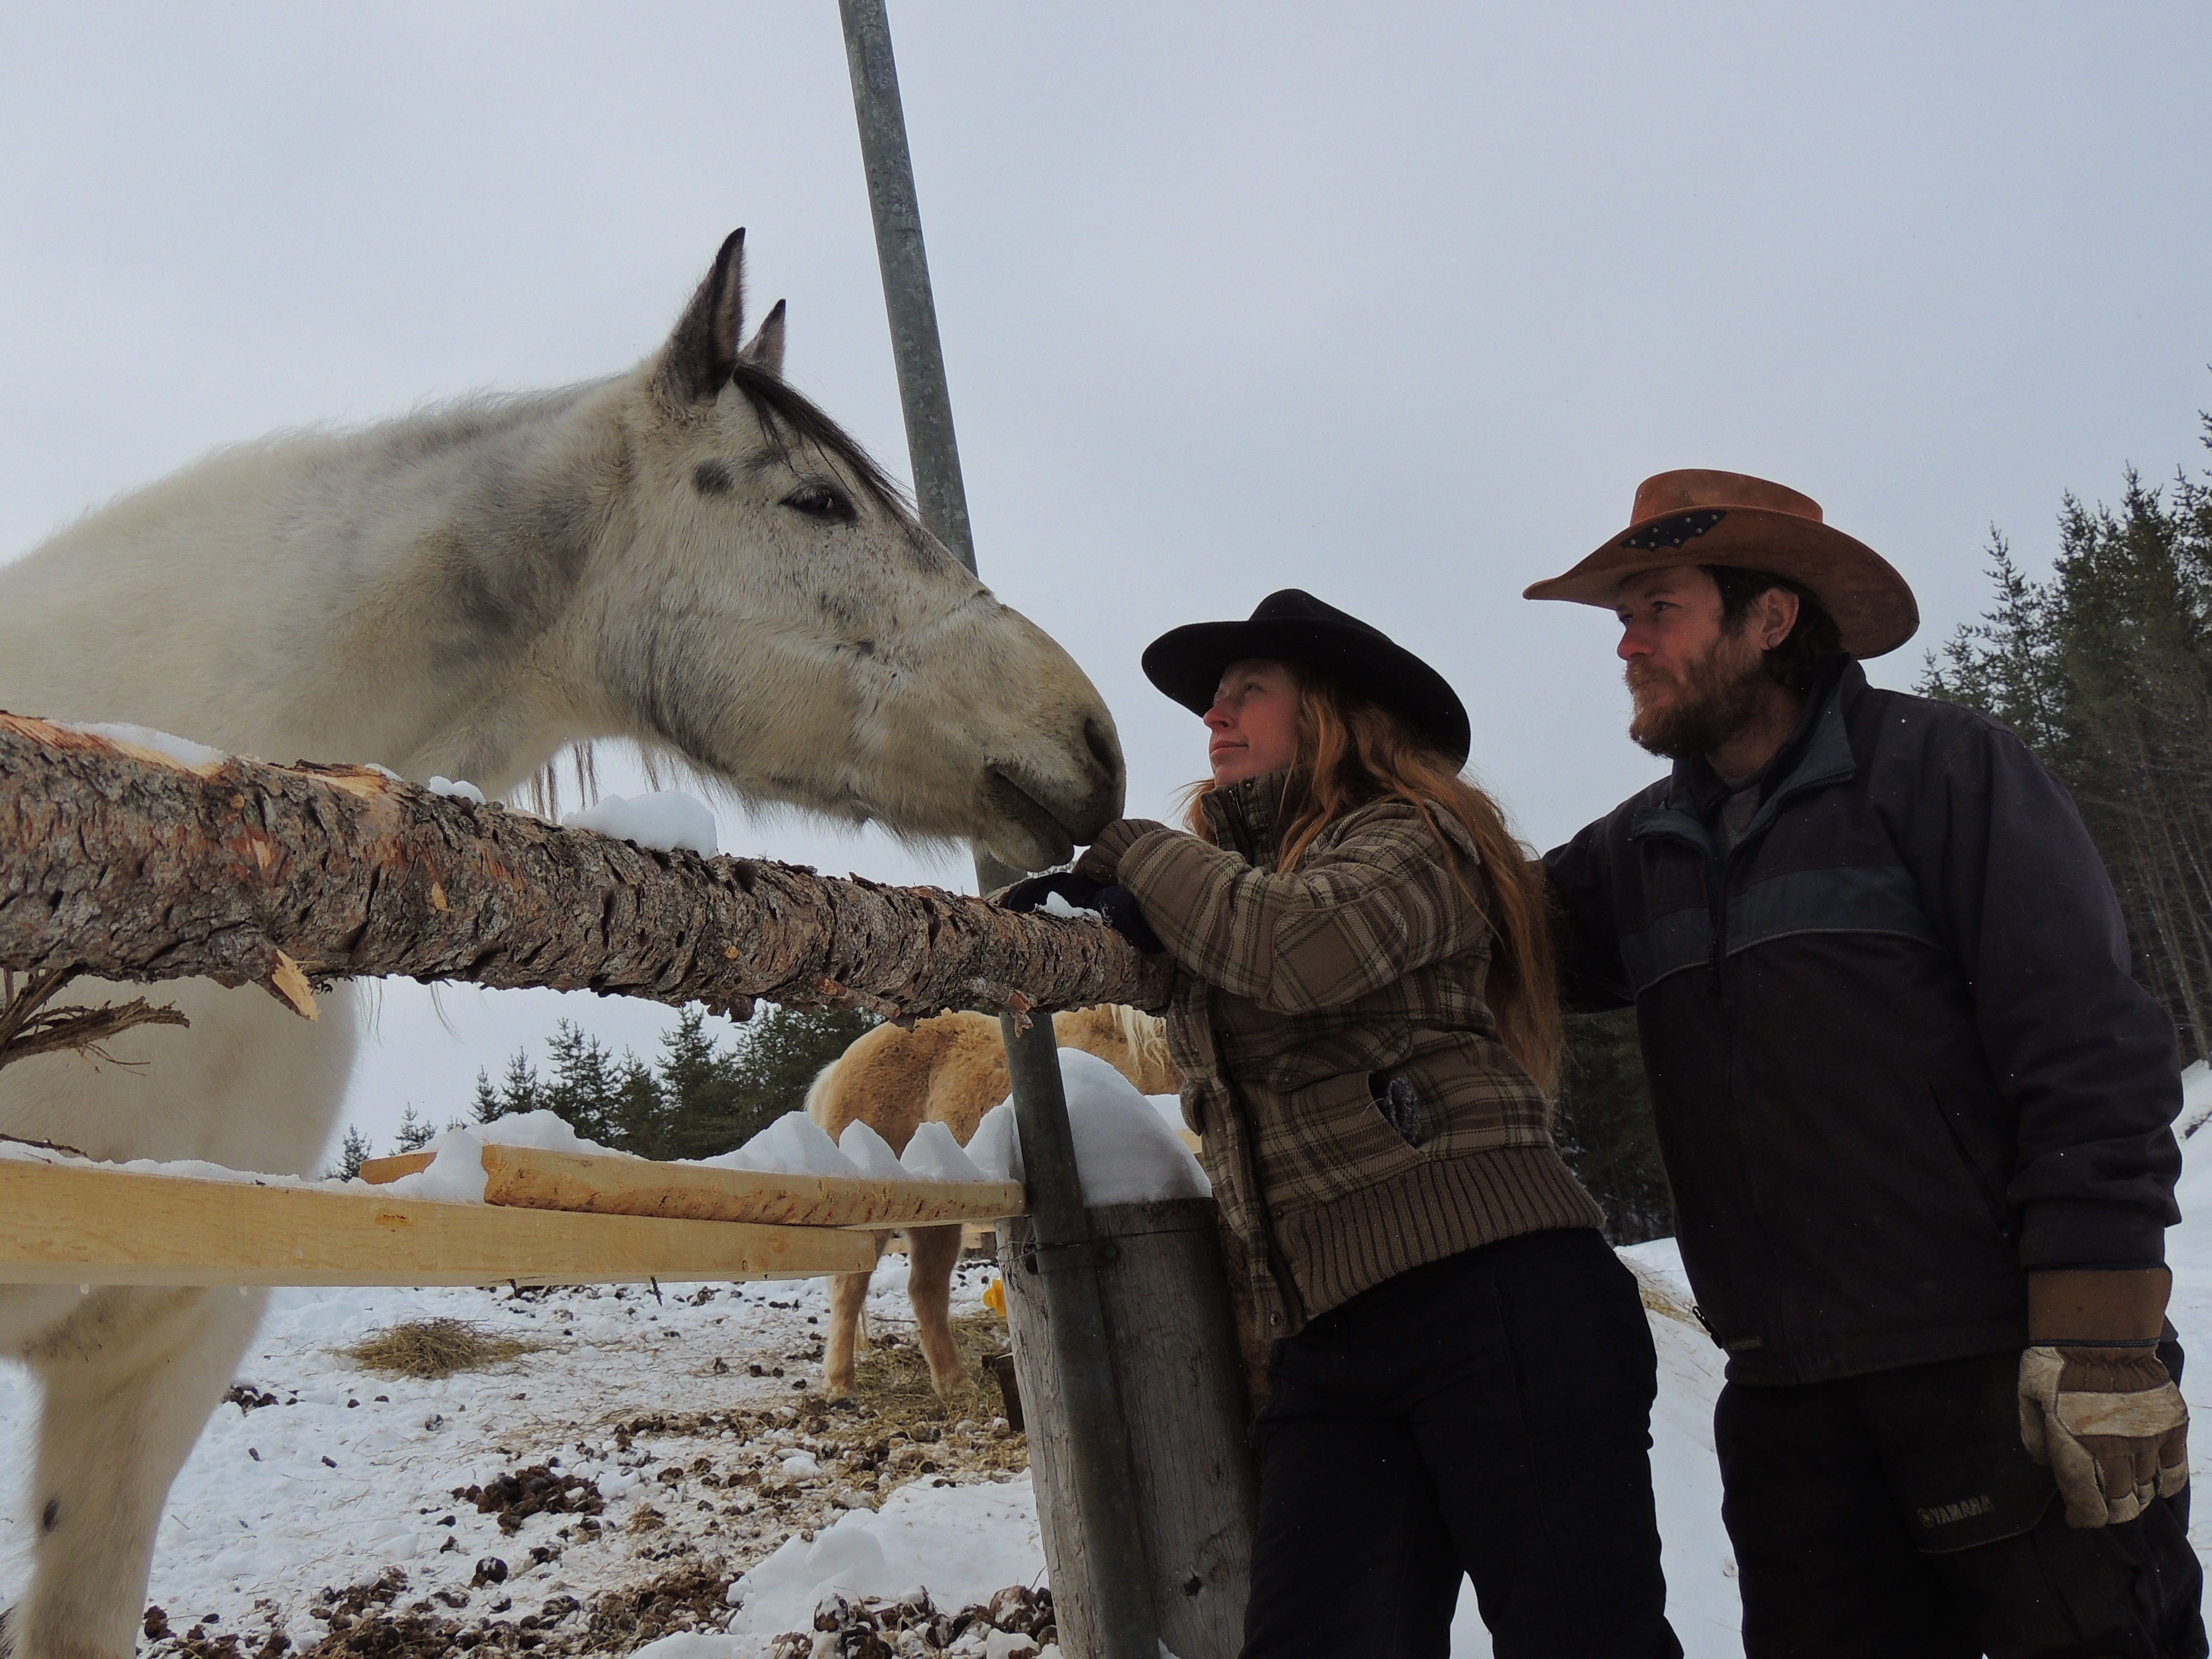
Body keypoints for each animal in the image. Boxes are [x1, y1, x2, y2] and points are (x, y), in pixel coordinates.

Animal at [809, 999, 1185, 1407]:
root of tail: (839, 1066)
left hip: (936, 1218)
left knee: (925, 1290)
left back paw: (953, 1383)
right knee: (850, 1289)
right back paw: (841, 1387)